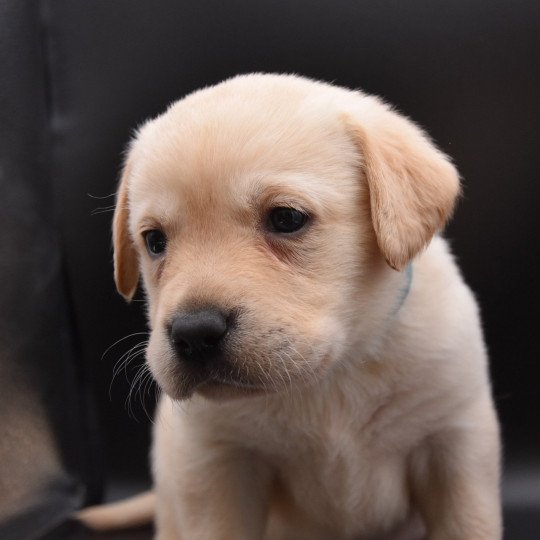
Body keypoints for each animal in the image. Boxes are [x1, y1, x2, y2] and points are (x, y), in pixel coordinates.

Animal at [80, 73, 502, 540]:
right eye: (154, 241)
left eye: (286, 219)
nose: (193, 333)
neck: (328, 379)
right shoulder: (218, 464)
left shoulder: (454, 444)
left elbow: (468, 523)